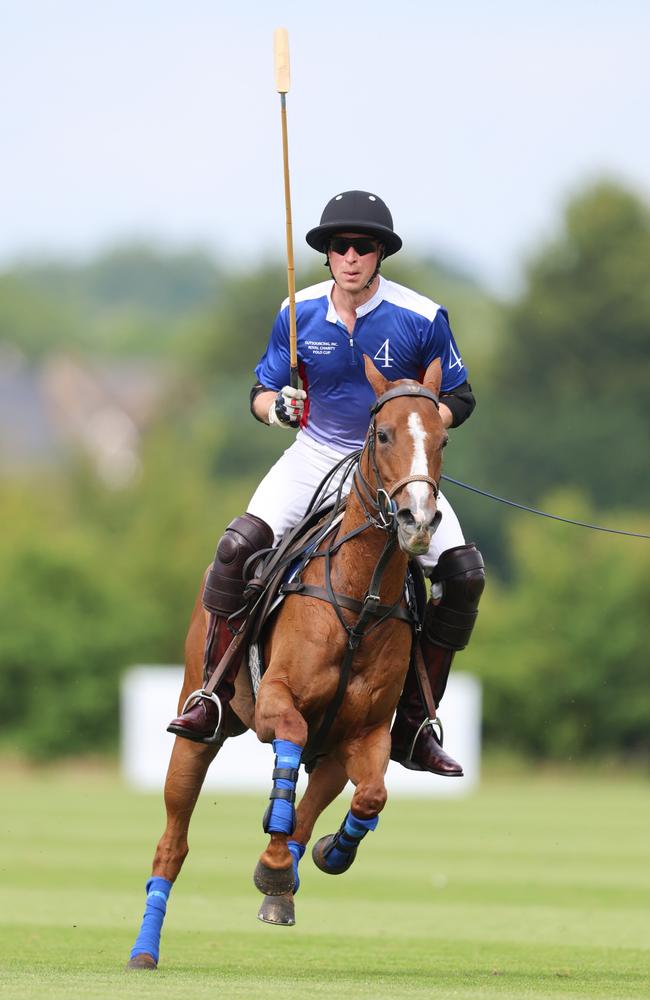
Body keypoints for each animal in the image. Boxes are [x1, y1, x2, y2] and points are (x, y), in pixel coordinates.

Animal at [129, 358, 448, 968]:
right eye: (383, 434)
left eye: (442, 438)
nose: (418, 521)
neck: (360, 598)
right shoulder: (278, 700)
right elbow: (290, 739)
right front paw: (276, 863)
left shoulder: (367, 731)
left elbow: (372, 795)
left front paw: (325, 853)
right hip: (200, 722)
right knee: (172, 844)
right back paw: (144, 950)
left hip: (336, 749)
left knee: (317, 798)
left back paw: (290, 874)